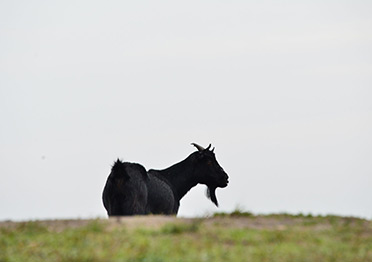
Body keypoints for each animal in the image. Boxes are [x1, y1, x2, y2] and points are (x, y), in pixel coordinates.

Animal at [102, 144, 230, 216]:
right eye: (208, 161)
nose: (225, 178)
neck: (173, 182)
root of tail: (120, 172)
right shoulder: (171, 212)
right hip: (134, 209)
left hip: (112, 209)